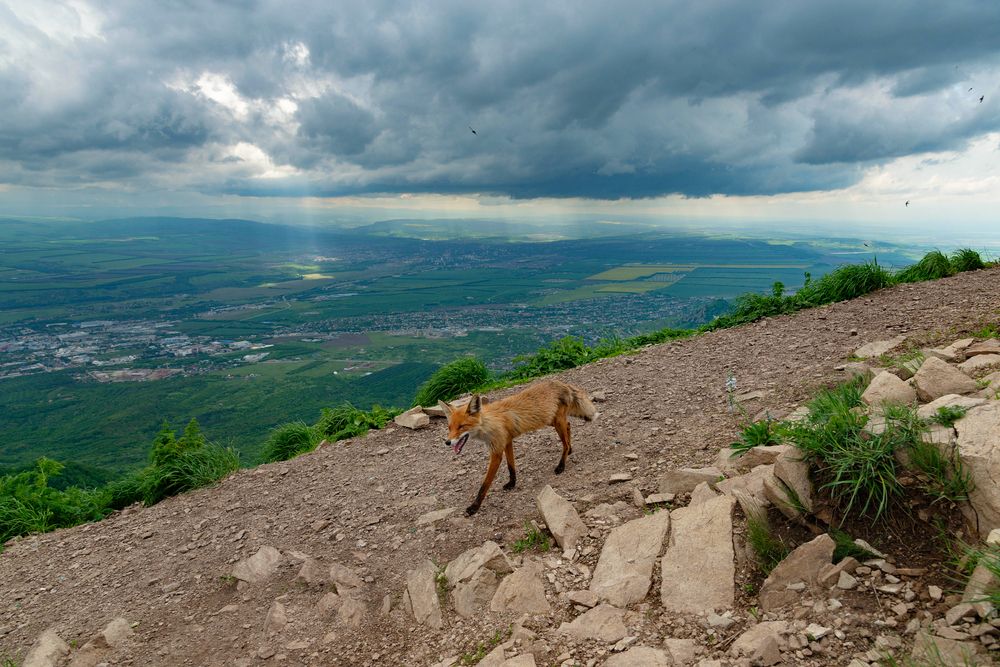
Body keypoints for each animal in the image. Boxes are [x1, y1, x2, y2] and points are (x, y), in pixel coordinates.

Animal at [438, 379, 597, 516]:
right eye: (450, 428)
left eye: (461, 427)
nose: (447, 442)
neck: (489, 423)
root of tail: (560, 383)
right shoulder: (507, 441)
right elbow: (511, 466)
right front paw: (512, 483)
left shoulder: (496, 451)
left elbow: (485, 484)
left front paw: (474, 507)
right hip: (551, 420)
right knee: (569, 427)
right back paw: (570, 450)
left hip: (556, 421)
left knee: (565, 441)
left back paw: (561, 465)